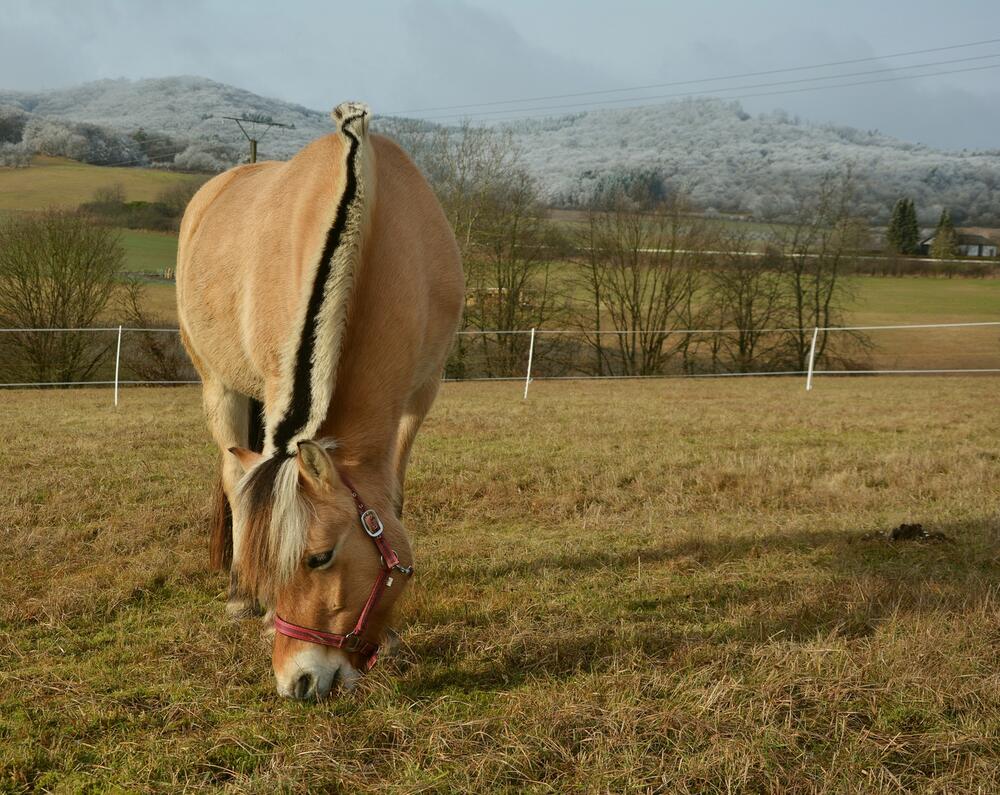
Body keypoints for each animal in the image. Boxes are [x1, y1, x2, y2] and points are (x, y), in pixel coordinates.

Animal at [176, 102, 464, 700]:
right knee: (233, 473)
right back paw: (240, 596)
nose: (299, 681)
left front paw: (393, 634)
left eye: (320, 557)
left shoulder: (419, 396)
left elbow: (393, 498)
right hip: (219, 383)